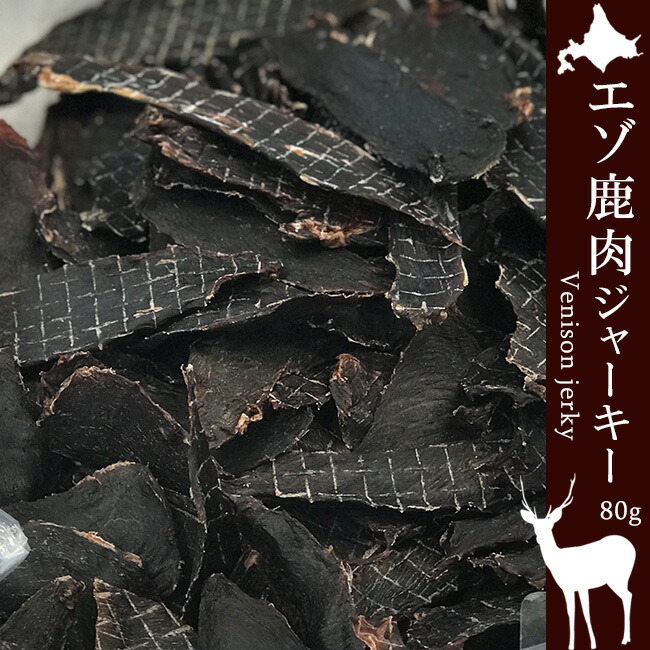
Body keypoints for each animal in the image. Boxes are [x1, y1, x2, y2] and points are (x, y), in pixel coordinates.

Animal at [520, 476, 635, 649]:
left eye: (550, 526)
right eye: (535, 526)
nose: (539, 539)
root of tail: (632, 547)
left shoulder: (580, 585)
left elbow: (585, 611)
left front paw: (591, 643)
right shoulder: (570, 587)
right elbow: (573, 611)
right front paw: (574, 644)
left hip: (617, 576)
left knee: (627, 595)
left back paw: (624, 639)